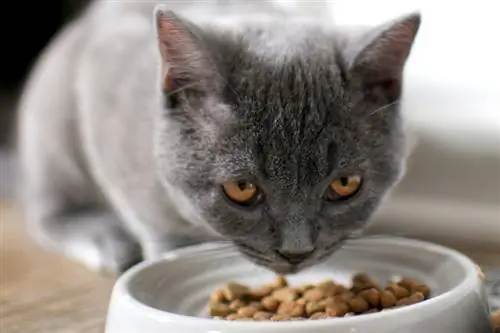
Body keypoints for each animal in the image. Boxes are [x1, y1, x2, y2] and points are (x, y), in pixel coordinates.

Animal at [15, 0, 420, 274]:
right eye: (241, 189)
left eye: (345, 184)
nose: (296, 251)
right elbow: (152, 219)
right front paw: (167, 253)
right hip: (53, 130)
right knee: (46, 211)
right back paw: (106, 242)